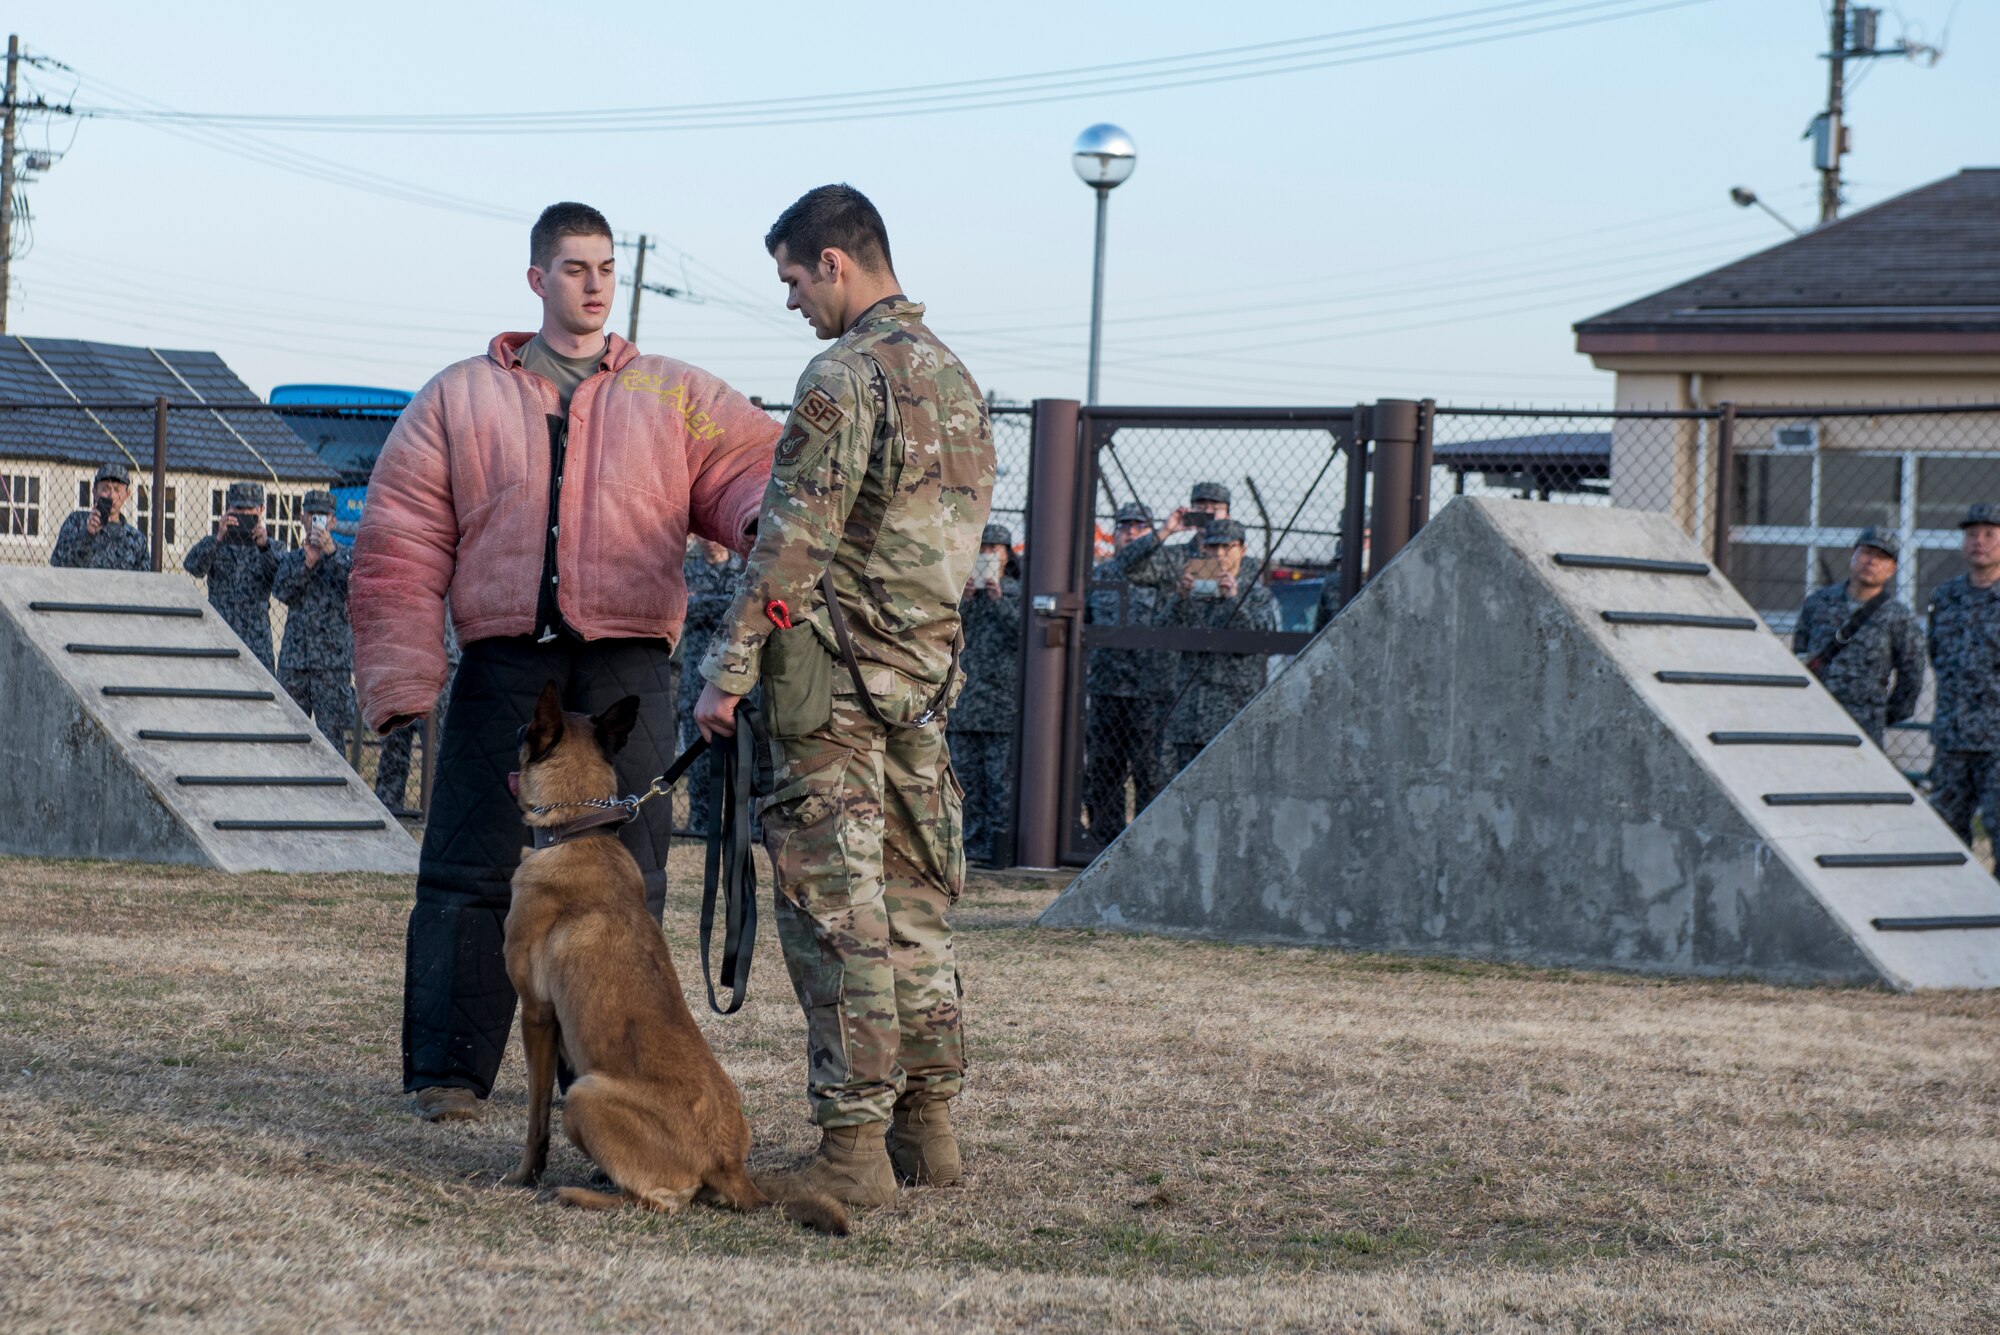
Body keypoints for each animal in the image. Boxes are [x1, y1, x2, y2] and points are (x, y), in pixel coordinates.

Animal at [504, 683, 848, 1239]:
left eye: (521, 731)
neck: (578, 830)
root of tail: (729, 1166)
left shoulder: (536, 1015)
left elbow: (536, 1120)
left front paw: (523, 1175)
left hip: (584, 1095)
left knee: (656, 1203)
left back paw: (578, 1194)